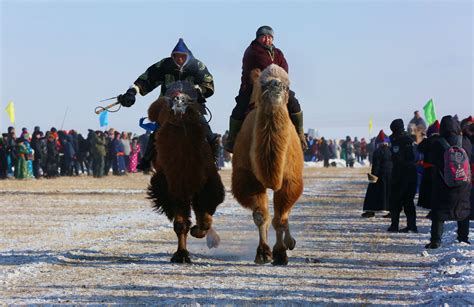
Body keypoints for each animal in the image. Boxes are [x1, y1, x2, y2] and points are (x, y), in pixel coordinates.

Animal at [232, 63, 306, 266]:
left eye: (287, 85)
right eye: (262, 83)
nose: (276, 85)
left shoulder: (290, 179)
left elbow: (280, 217)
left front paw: (280, 253)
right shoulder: (249, 179)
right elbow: (260, 216)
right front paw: (264, 253)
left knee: (286, 213)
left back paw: (290, 242)